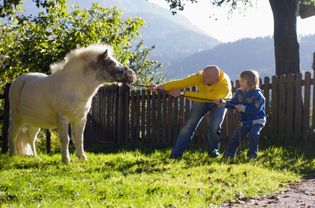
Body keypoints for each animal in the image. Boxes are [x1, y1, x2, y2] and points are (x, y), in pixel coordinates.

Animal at [8, 44, 137, 162]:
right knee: (13, 134)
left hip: (35, 121)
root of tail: (17, 81)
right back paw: (12, 155)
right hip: (18, 117)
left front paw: (82, 157)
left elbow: (79, 138)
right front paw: (66, 159)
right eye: (111, 63)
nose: (132, 75)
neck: (74, 87)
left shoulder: (80, 119)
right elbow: (65, 139)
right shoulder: (62, 118)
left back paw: (36, 158)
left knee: (31, 137)